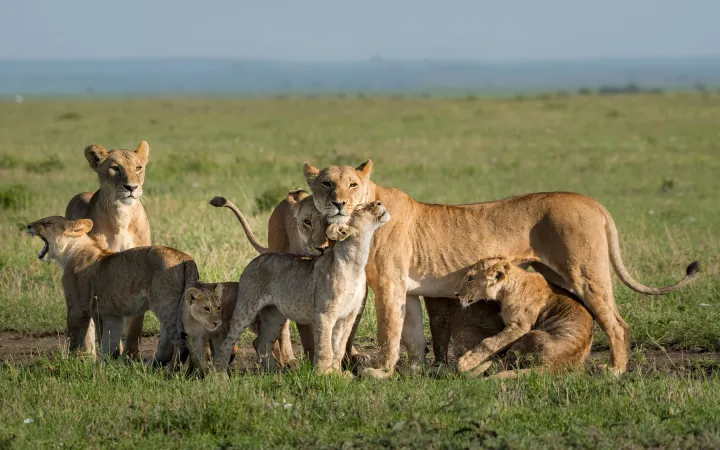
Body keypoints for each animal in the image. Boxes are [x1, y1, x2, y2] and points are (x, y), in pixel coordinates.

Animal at [27, 216, 193, 366]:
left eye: (47, 223)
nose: (28, 225)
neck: (71, 252)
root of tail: (185, 258)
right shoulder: (111, 314)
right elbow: (111, 344)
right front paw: (109, 366)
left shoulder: (79, 309)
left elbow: (75, 339)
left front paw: (72, 363)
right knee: (169, 341)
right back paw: (153, 366)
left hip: (166, 305)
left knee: (181, 343)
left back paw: (170, 372)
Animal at [65, 141, 151, 358]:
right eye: (115, 168)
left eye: (138, 167)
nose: (132, 187)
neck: (122, 215)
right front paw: (114, 353)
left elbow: (136, 322)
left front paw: (131, 355)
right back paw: (87, 353)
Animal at [212, 201, 390, 375]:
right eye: (360, 208)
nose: (379, 202)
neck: (356, 262)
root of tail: (257, 259)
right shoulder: (324, 314)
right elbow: (325, 348)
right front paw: (324, 375)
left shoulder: (348, 315)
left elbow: (338, 348)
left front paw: (339, 375)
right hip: (246, 308)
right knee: (228, 341)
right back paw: (220, 374)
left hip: (274, 315)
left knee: (261, 343)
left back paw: (274, 372)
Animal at [450, 258, 594, 378]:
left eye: (470, 278)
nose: (456, 293)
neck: (504, 291)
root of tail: (553, 367)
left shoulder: (519, 326)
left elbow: (492, 342)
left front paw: (466, 361)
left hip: (531, 335)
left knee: (501, 365)